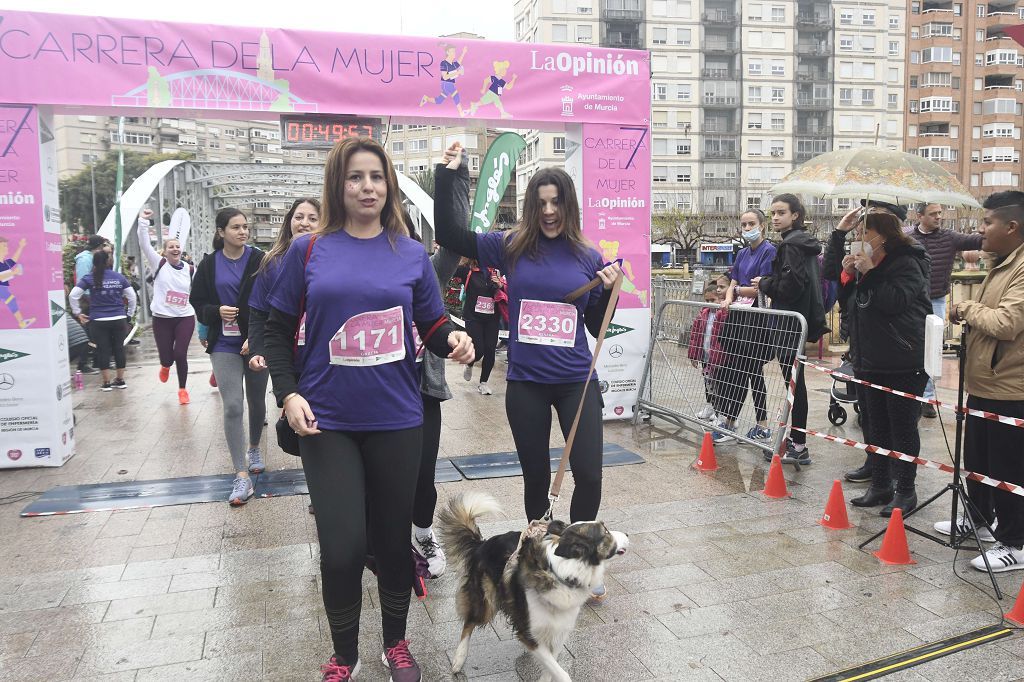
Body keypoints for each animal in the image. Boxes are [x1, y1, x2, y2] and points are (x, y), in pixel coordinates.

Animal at [436, 491, 626, 675]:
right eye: (606, 532)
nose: (627, 534)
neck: (561, 573)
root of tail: (482, 544)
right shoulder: (529, 633)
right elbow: (561, 672)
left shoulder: (559, 631)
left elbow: (552, 669)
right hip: (486, 601)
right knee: (469, 623)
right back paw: (458, 659)